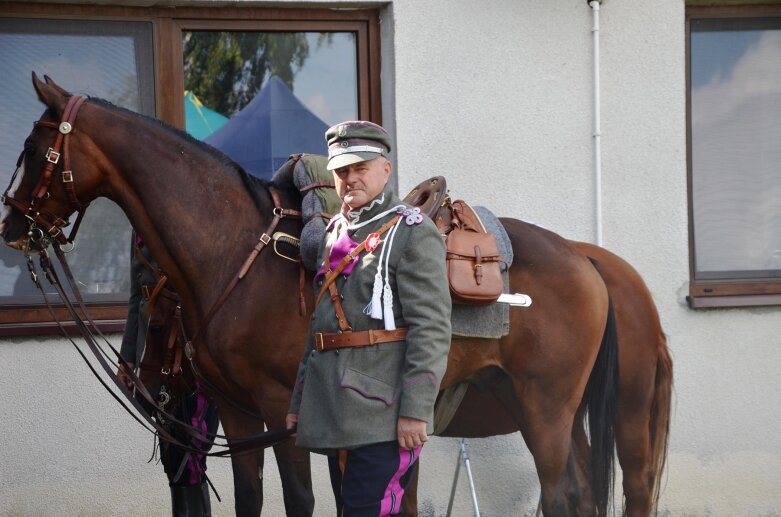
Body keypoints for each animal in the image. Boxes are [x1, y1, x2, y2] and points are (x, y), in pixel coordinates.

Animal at [0, 74, 616, 512]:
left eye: (31, 146)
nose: (11, 226)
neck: (233, 249)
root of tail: (580, 255)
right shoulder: (239, 411)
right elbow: (250, 497)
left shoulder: (282, 410)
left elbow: (301, 499)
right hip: (544, 407)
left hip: (545, 408)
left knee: (561, 495)